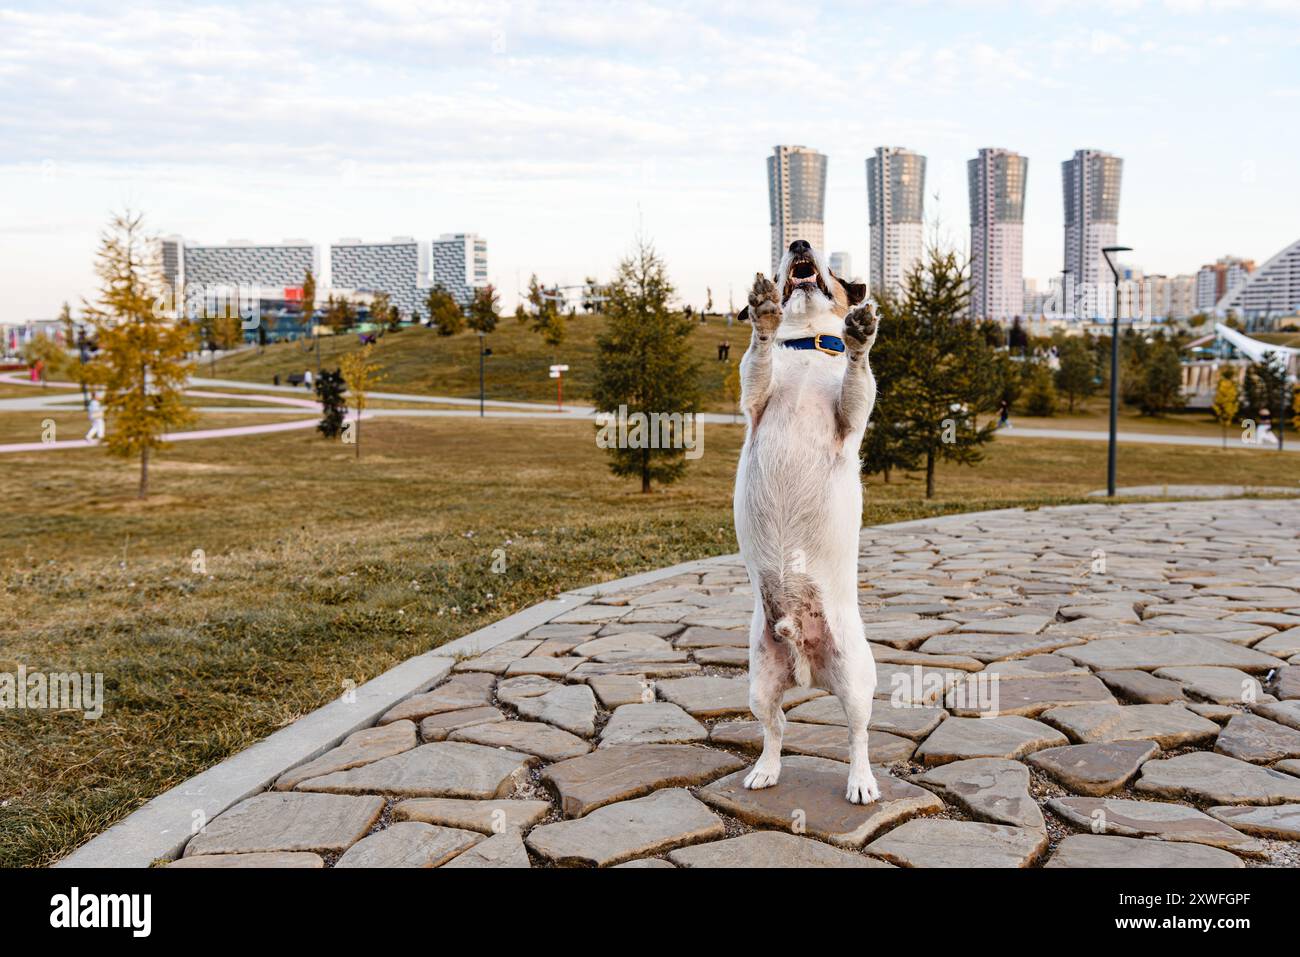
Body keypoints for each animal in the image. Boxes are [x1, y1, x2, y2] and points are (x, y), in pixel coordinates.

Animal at [733, 237, 883, 800]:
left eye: (834, 270)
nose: (799, 241)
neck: (804, 347)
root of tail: (803, 663)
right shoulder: (754, 400)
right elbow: (756, 358)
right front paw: (763, 312)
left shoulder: (851, 417)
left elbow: (859, 378)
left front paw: (860, 334)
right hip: (759, 683)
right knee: (775, 729)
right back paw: (766, 770)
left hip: (857, 680)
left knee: (858, 735)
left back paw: (861, 783)